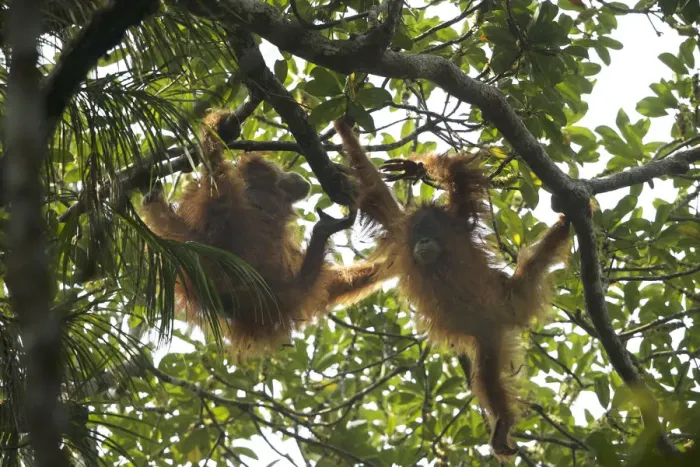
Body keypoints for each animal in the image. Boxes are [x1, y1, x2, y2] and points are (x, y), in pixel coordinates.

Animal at [333, 117, 571, 458]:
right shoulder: (399, 232)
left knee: (487, 377)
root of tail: (510, 302)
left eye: (429, 230)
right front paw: (345, 130)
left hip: (501, 312)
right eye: (418, 232)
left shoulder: (459, 221)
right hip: (489, 336)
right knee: (488, 377)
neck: (438, 261)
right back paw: (503, 424)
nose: (422, 241)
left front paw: (414, 167)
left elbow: (459, 176)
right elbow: (376, 194)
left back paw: (503, 426)